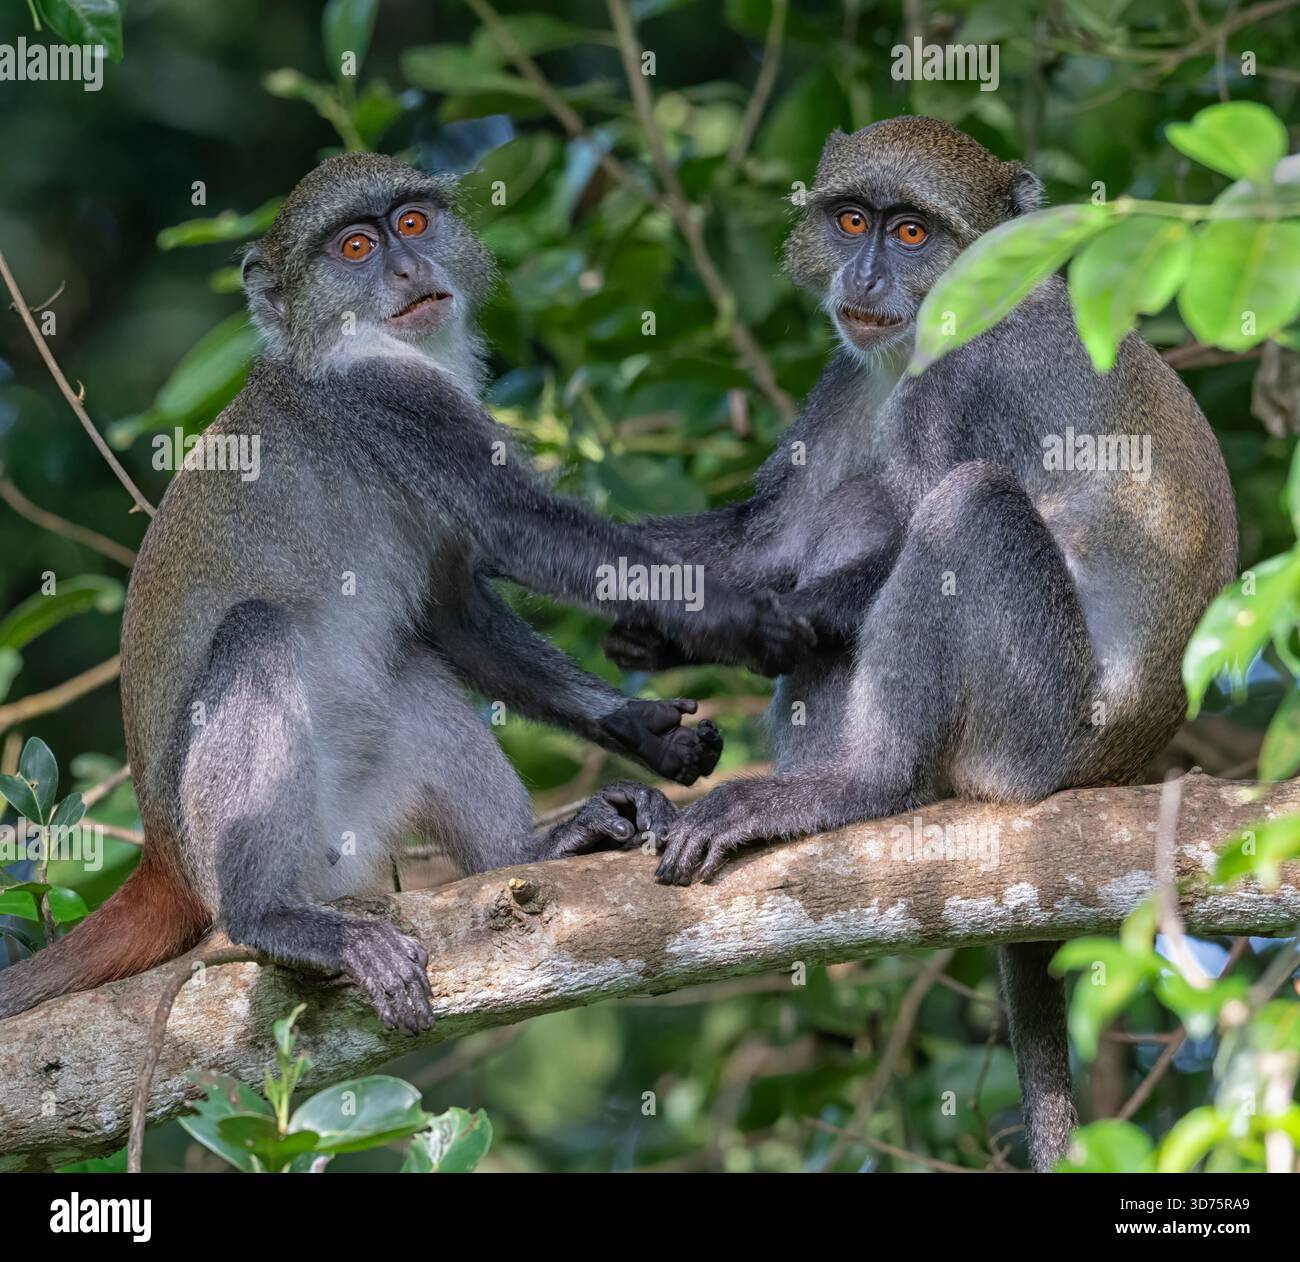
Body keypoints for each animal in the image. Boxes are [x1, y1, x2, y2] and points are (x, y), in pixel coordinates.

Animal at [0, 153, 816, 1033]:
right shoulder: (392, 402)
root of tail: (160, 852)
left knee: (415, 672)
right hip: (232, 843)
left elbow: (450, 610)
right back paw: (270, 917)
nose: (404, 269)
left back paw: (532, 854)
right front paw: (745, 622)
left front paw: (640, 725)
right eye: (355, 247)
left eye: (413, 223)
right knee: (255, 634)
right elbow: (519, 524)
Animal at [603, 117, 1238, 1171]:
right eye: (853, 220)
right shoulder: (846, 378)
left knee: (964, 507)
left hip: (1033, 730)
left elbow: (908, 529)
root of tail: (1113, 767)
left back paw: (857, 789)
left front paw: (709, 632)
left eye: (911, 233)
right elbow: (770, 535)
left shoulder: (961, 373)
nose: (863, 277)